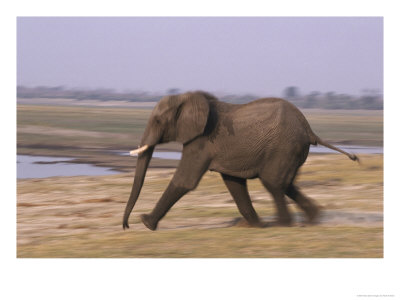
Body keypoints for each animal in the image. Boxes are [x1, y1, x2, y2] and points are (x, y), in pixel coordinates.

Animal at [122, 90, 360, 231]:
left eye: (158, 120)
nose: (126, 226)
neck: (188, 97)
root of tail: (309, 129)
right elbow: (234, 183)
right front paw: (253, 225)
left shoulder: (201, 140)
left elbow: (184, 180)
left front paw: (146, 222)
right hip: (290, 151)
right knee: (286, 183)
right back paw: (312, 219)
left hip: (284, 147)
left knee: (273, 182)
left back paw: (282, 224)